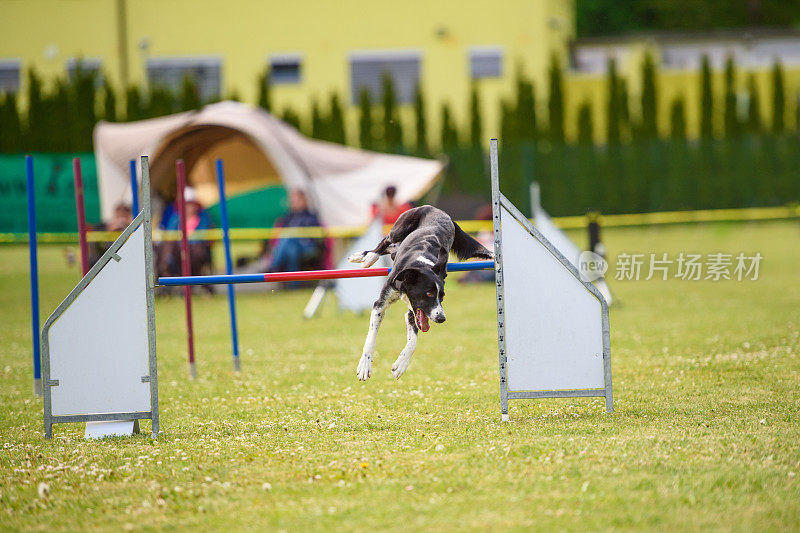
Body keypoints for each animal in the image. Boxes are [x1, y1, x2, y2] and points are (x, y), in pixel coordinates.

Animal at [350, 206, 494, 380]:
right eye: (429, 293)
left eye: (442, 297)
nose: (441, 318)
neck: (420, 265)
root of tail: (437, 210)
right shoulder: (380, 304)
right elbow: (370, 338)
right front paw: (365, 366)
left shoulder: (414, 312)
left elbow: (413, 341)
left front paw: (401, 365)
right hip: (400, 227)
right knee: (386, 240)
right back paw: (368, 256)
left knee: (392, 249)